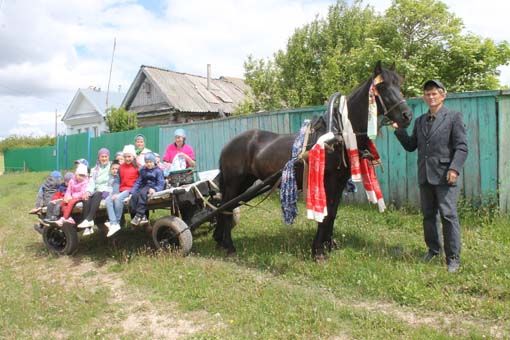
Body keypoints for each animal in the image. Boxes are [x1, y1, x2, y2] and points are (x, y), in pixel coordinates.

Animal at [213, 61, 412, 258]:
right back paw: (229, 247)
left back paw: (220, 241)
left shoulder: (339, 183)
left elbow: (332, 213)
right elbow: (326, 214)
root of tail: (228, 145)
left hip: (244, 182)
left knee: (226, 207)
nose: (407, 116)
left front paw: (328, 245)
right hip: (234, 182)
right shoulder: (328, 182)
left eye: (399, 84)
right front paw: (318, 251)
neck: (337, 135)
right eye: (382, 86)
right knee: (226, 208)